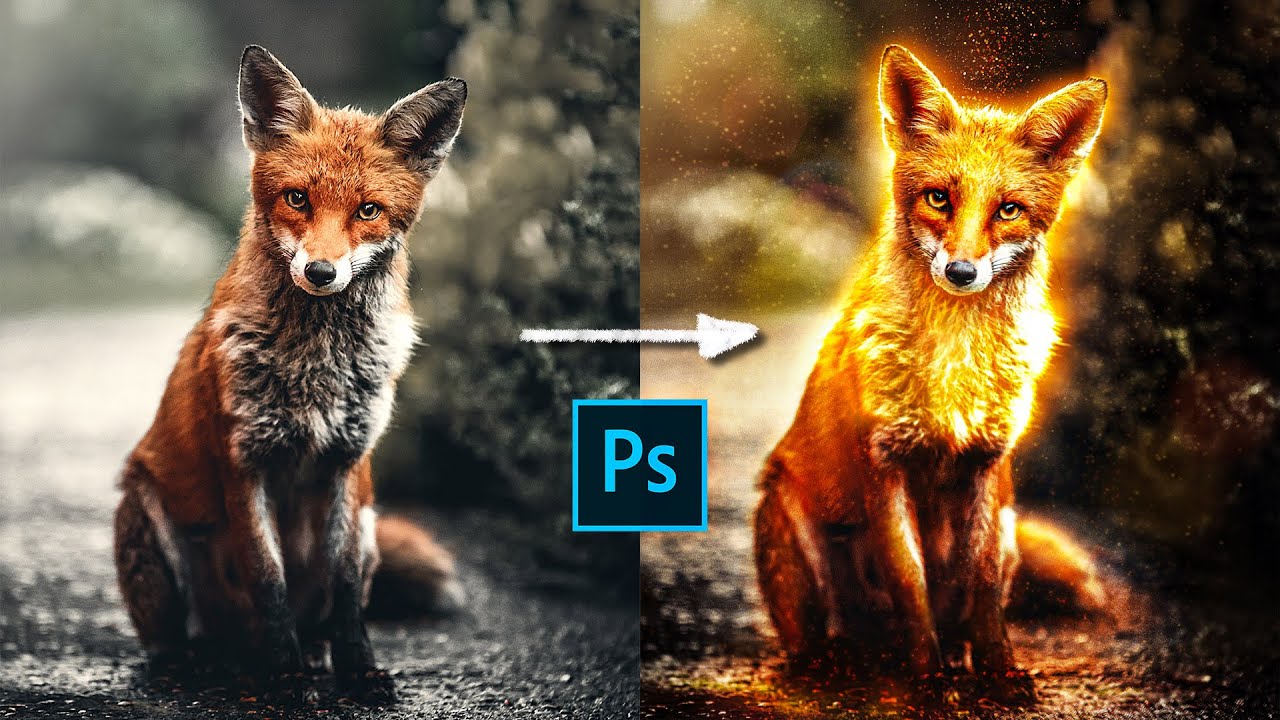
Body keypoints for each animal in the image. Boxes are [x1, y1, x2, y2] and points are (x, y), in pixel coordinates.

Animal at [112, 45, 466, 703]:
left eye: (368, 210)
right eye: (298, 198)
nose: (322, 272)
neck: (316, 364)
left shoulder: (350, 463)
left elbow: (346, 589)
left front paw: (358, 670)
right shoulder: (244, 462)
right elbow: (267, 577)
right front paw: (285, 676)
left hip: (372, 524)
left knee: (322, 614)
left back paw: (313, 655)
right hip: (146, 514)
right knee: (178, 639)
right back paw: (201, 663)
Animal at [753, 45, 1108, 696]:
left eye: (1008, 210)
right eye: (938, 198)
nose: (962, 272)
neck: (954, 363)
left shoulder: (987, 464)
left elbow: (983, 585)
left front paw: (998, 670)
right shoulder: (884, 463)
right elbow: (909, 580)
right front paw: (928, 678)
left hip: (1012, 524)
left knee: (964, 606)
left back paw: (957, 654)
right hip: (792, 520)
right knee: (818, 635)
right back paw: (840, 659)